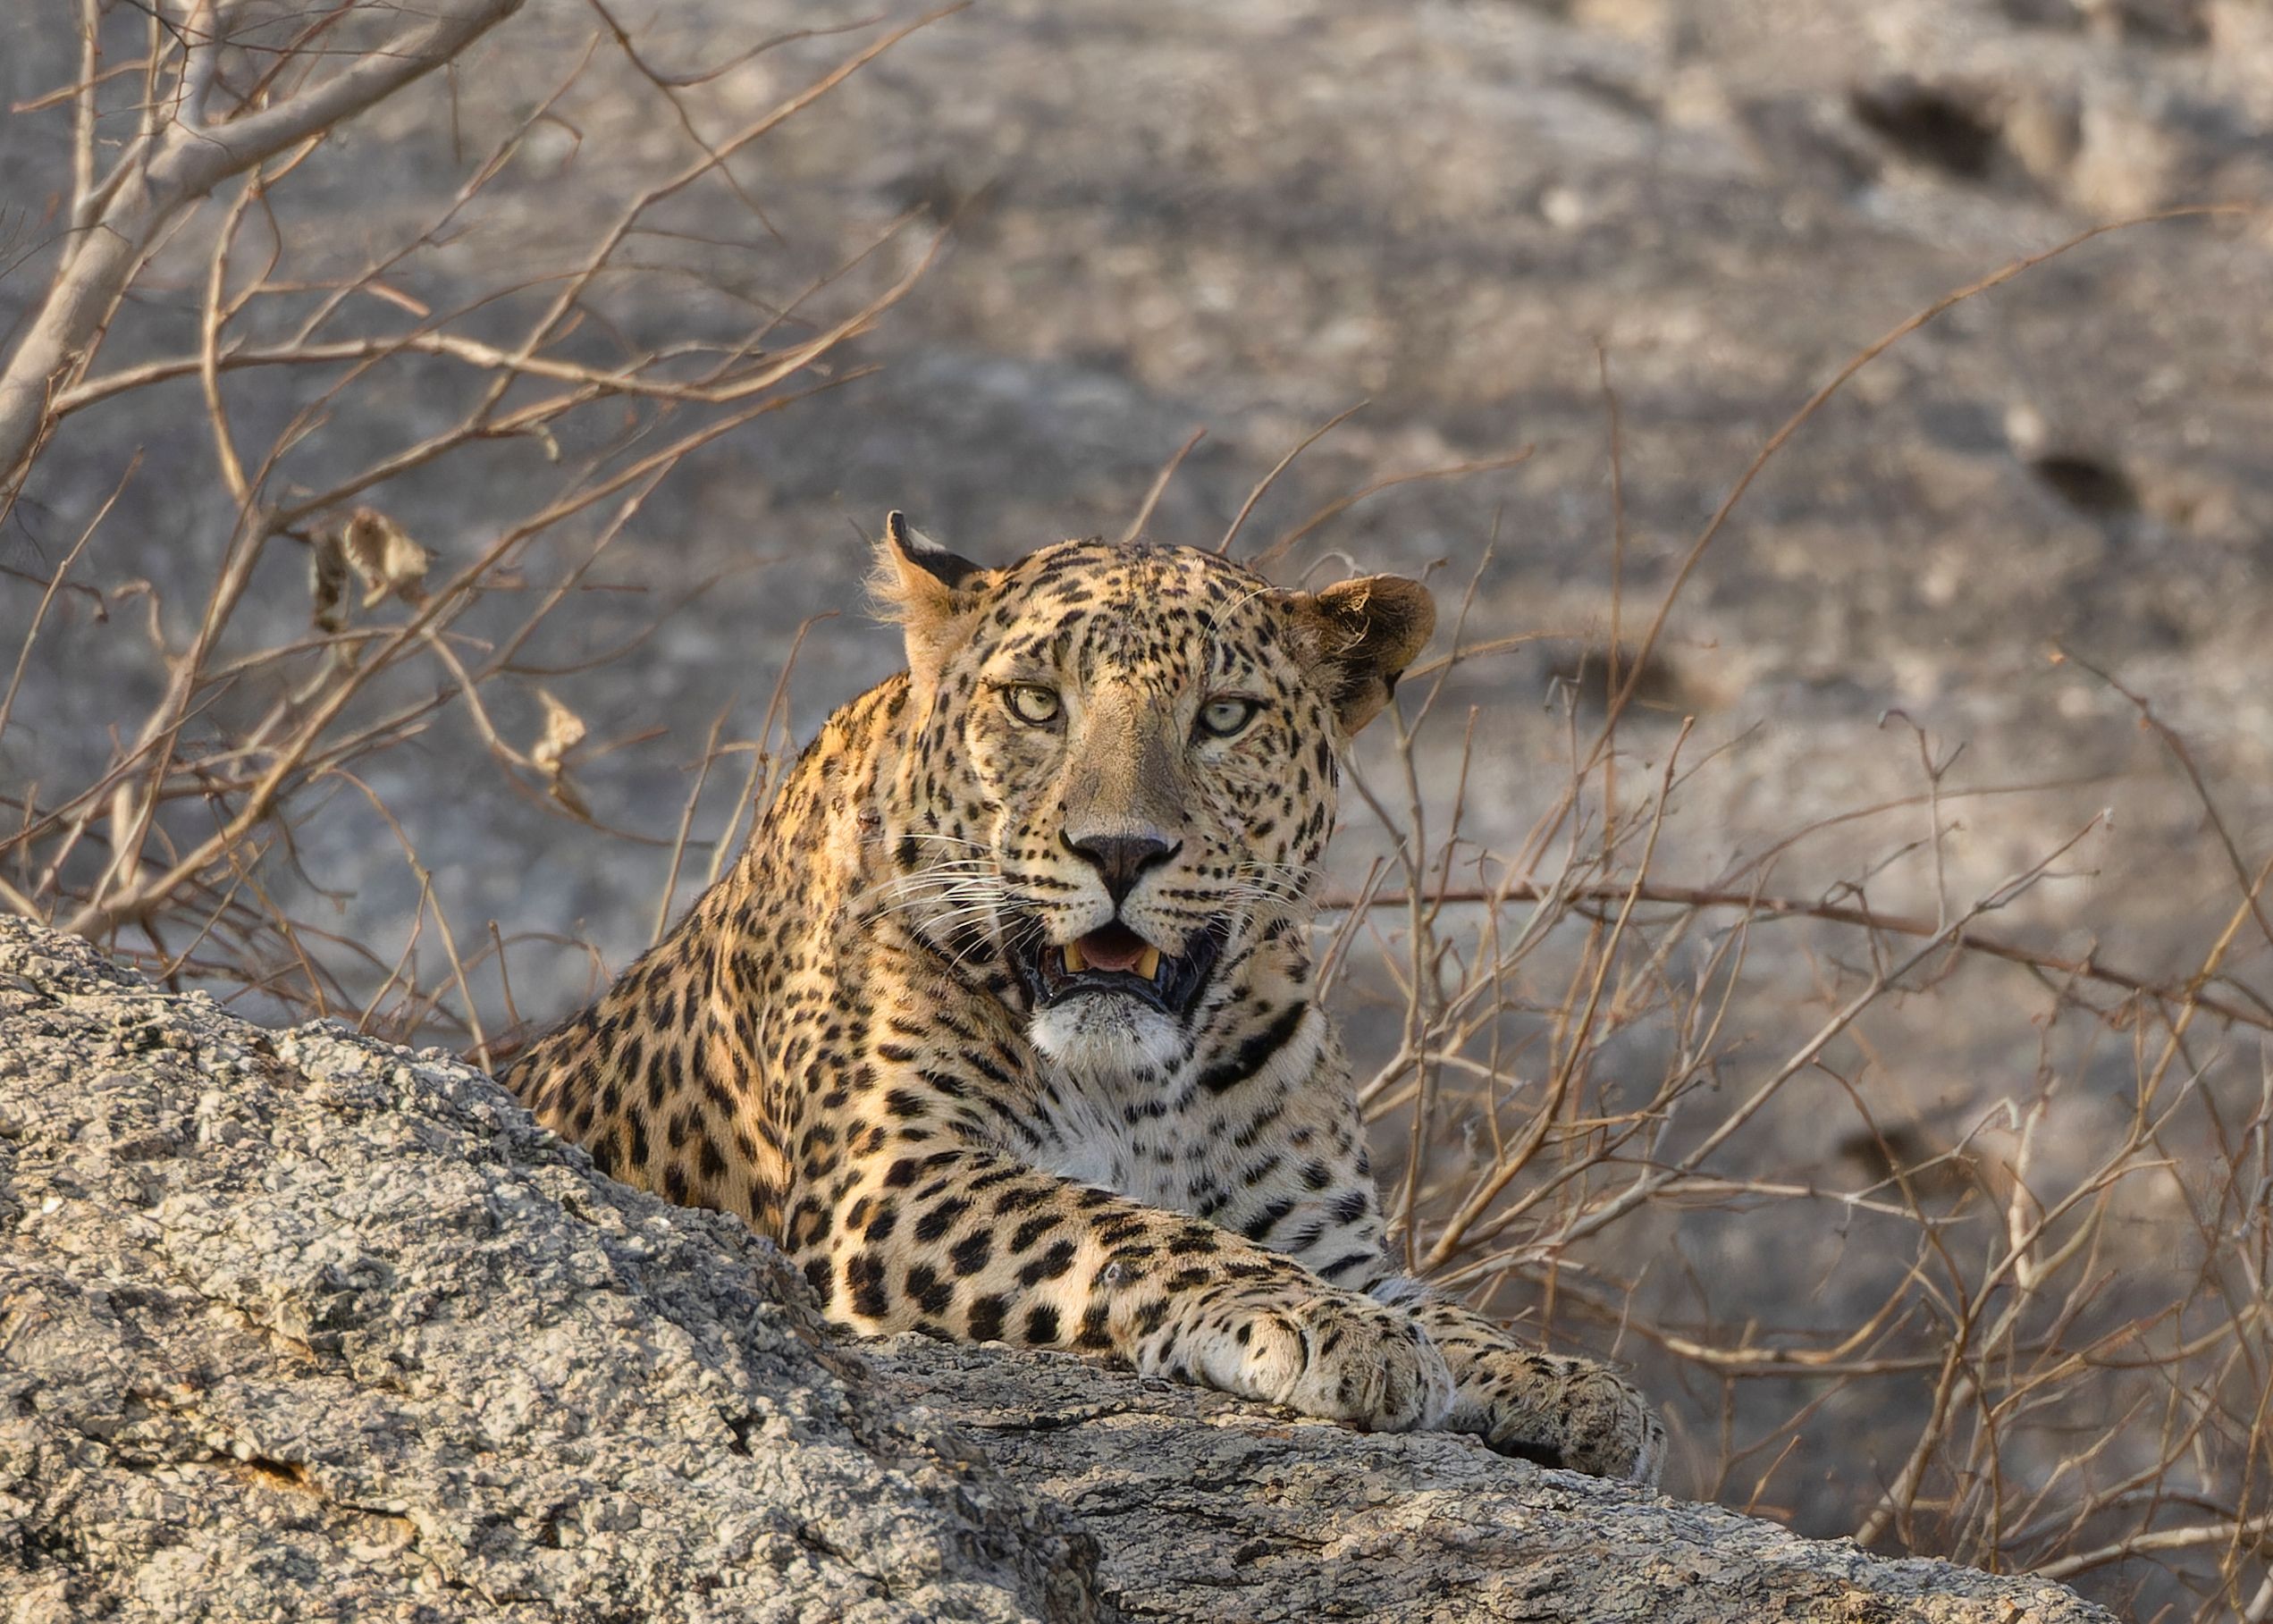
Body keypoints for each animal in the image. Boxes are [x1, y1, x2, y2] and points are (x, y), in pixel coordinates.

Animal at [505, 516, 1665, 1482]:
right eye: (1034, 702)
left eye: (1223, 717)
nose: (1117, 849)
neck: (1135, 1082)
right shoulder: (895, 1172)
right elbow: (1127, 1224)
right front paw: (1330, 1327)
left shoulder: (1329, 1236)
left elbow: (1449, 1312)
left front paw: (1568, 1382)